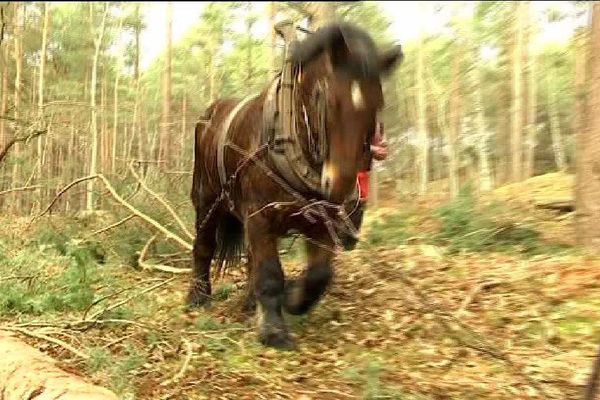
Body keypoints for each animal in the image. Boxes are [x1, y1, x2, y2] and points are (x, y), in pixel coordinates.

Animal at [188, 21, 404, 350]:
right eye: (325, 98)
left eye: (377, 104)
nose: (338, 185)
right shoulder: (259, 214)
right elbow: (269, 274)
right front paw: (274, 332)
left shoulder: (321, 221)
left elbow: (319, 274)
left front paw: (292, 299)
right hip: (207, 197)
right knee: (204, 245)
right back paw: (198, 296)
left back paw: (251, 302)